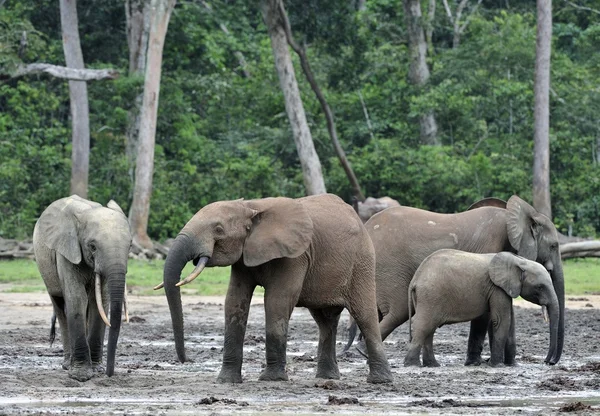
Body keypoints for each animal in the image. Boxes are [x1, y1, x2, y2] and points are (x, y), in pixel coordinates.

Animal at [32, 195, 131, 380]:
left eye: (130, 246)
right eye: (92, 246)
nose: (109, 374)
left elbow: (100, 302)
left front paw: (97, 369)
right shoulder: (66, 251)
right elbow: (77, 299)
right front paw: (81, 375)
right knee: (60, 307)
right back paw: (66, 365)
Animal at [158, 194, 394, 384]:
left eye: (218, 229)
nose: (186, 359)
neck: (251, 206)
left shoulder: (295, 255)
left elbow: (277, 301)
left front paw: (272, 379)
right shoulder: (244, 256)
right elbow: (234, 301)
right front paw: (226, 381)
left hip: (362, 262)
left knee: (364, 315)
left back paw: (380, 381)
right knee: (325, 321)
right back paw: (327, 378)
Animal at [406, 249, 560, 366]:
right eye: (540, 287)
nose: (548, 362)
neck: (519, 261)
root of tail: (415, 280)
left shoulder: (504, 289)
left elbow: (510, 322)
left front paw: (512, 365)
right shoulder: (497, 288)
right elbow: (501, 320)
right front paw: (497, 365)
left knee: (429, 328)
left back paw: (433, 365)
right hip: (431, 296)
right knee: (424, 325)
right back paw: (412, 364)